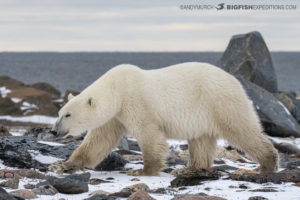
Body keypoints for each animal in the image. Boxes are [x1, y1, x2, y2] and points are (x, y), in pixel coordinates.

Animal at [48, 62, 278, 175]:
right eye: (59, 113)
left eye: (68, 114)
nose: (53, 131)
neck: (117, 90)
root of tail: (235, 81)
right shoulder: (115, 116)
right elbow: (98, 141)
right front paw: (63, 166)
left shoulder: (135, 101)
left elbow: (149, 134)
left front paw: (143, 171)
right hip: (203, 114)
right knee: (201, 139)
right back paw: (194, 167)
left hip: (219, 101)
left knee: (240, 130)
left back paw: (267, 164)